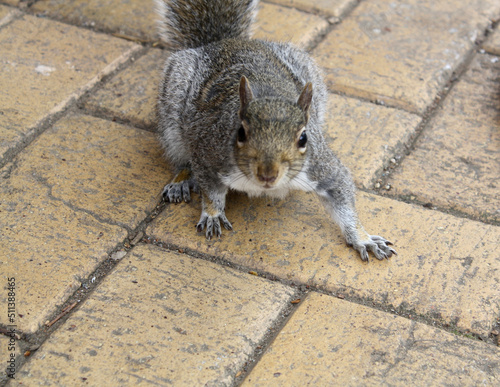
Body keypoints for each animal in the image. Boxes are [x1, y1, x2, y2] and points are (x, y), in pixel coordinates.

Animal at [154, 0, 396, 262]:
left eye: (303, 138)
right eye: (240, 133)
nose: (267, 174)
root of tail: (226, 42)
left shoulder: (321, 167)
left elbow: (343, 196)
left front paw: (363, 237)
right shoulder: (208, 153)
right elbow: (210, 190)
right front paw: (212, 213)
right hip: (173, 106)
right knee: (181, 156)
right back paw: (181, 180)